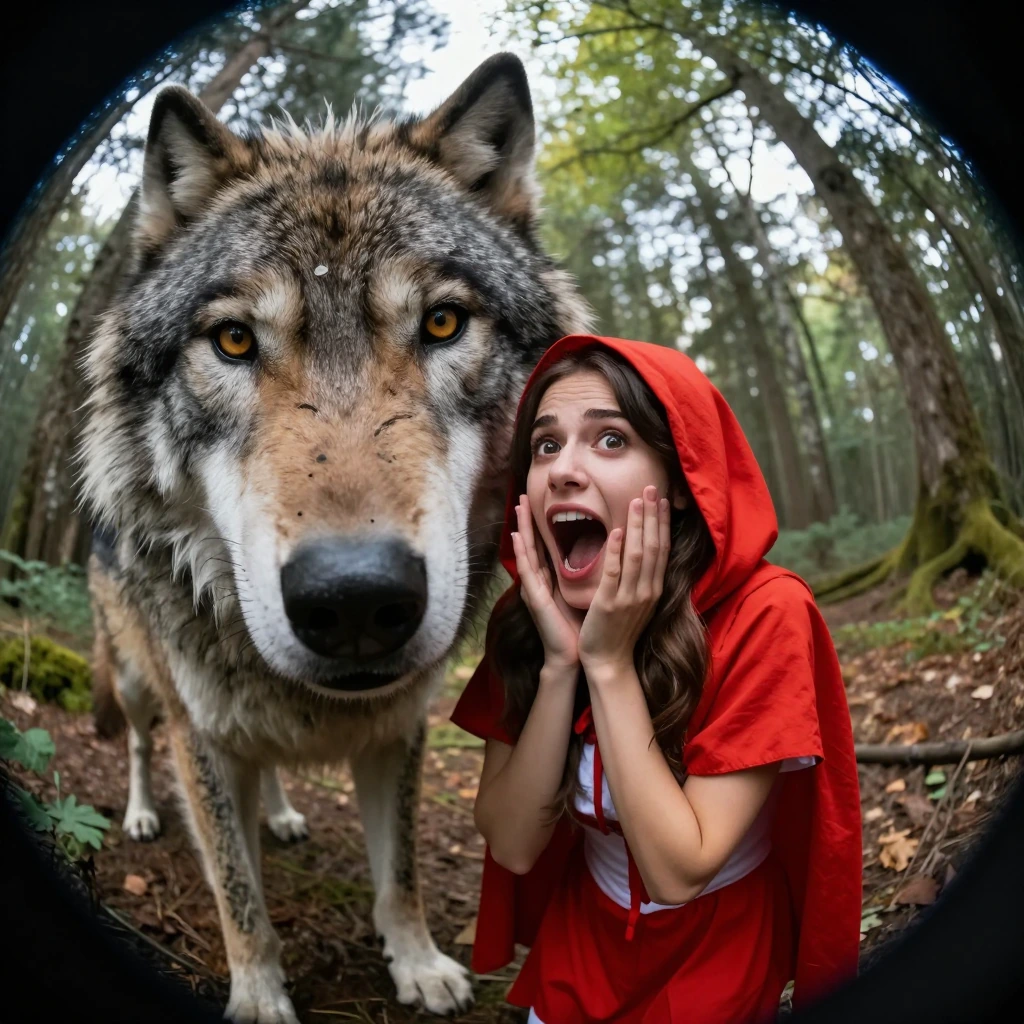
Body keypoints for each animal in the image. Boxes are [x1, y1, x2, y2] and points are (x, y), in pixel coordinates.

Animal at [79, 52, 590, 1023]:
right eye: (233, 340)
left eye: (442, 323)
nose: (355, 600)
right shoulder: (203, 739)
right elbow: (237, 888)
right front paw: (258, 993)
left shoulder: (399, 728)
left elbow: (400, 875)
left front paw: (419, 965)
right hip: (133, 677)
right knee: (137, 744)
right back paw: (139, 811)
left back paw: (280, 811)